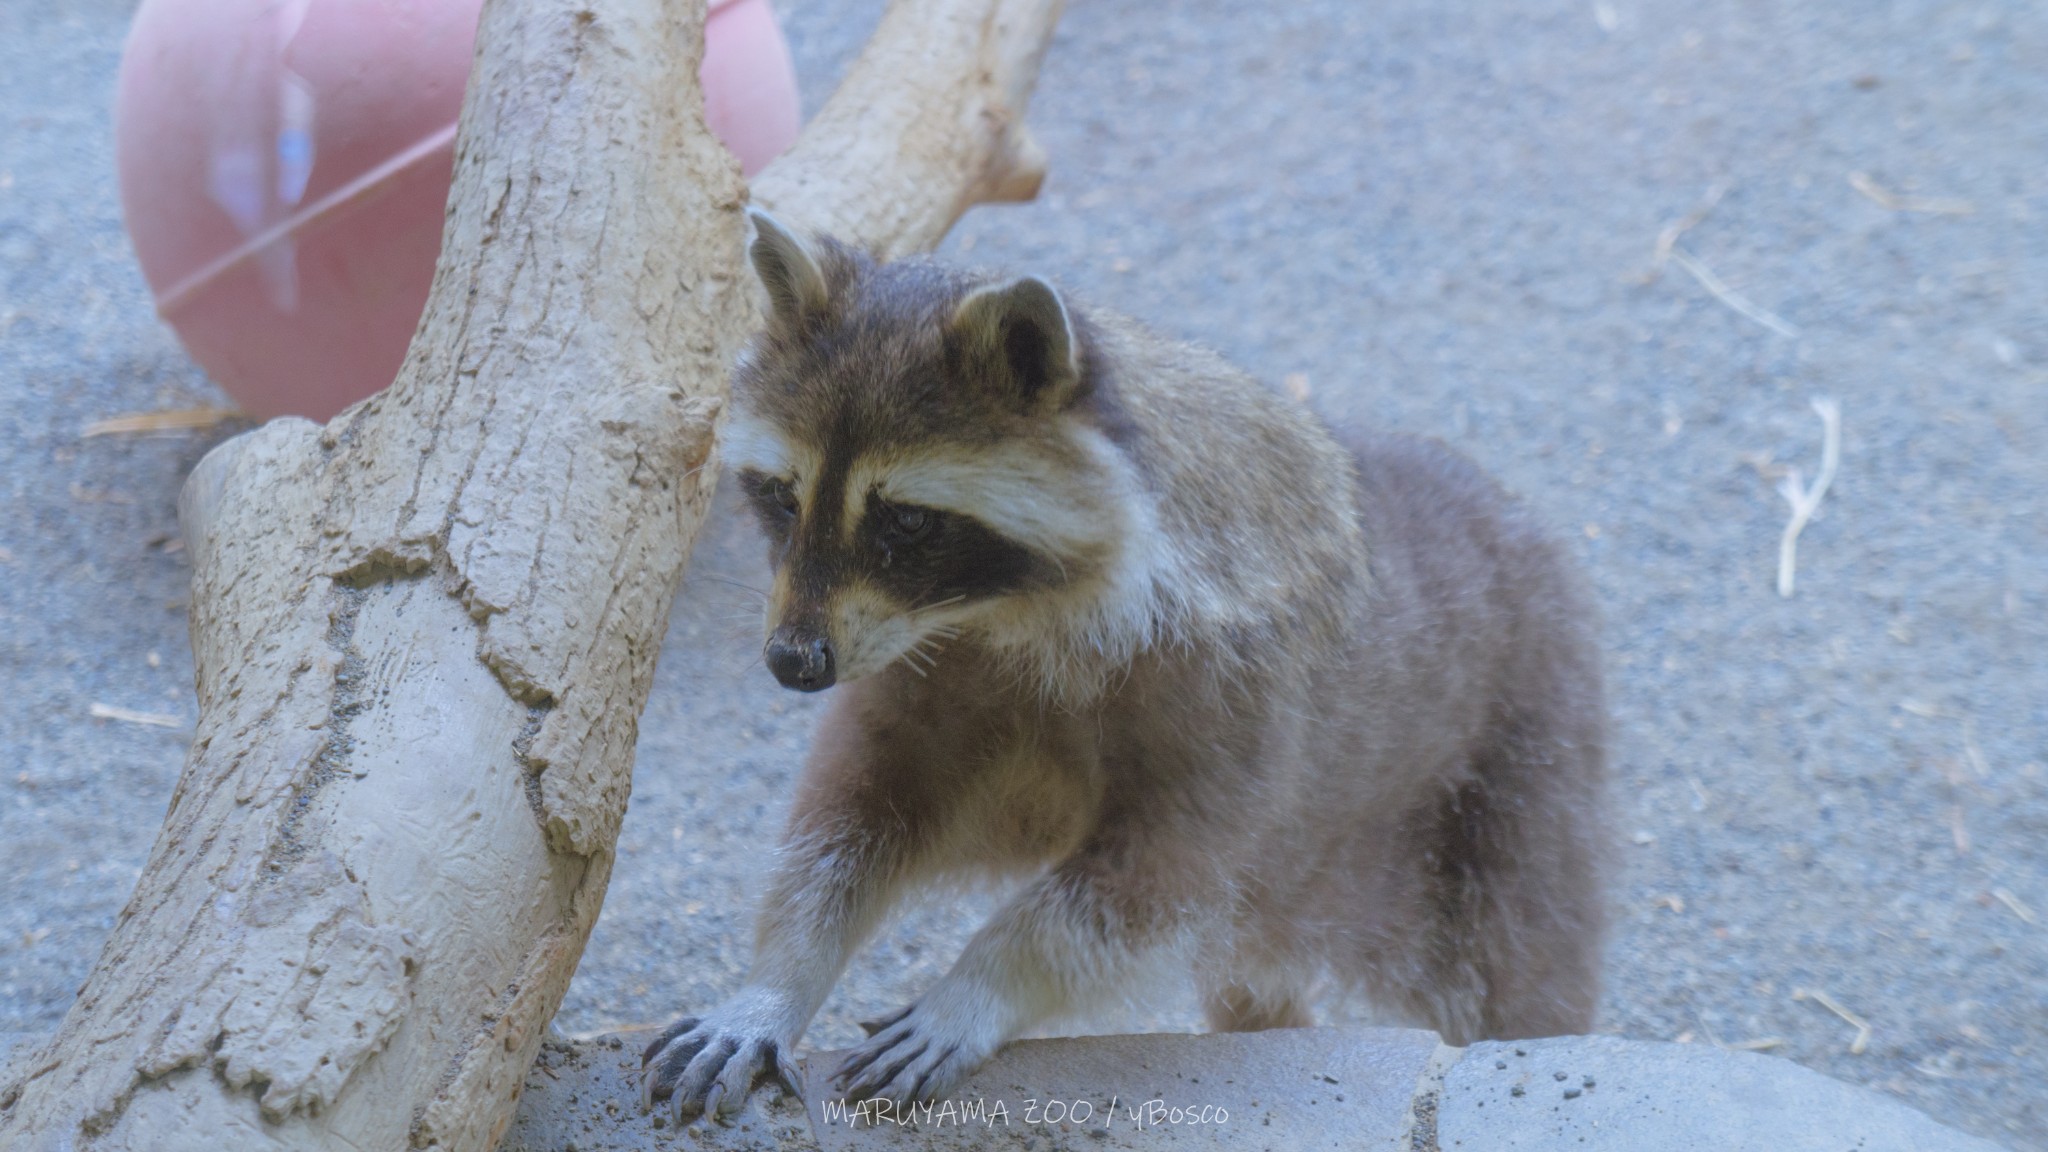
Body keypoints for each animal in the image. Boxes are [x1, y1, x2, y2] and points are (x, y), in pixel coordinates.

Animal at [643, 203, 1613, 1115]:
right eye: (782, 496)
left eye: (908, 521)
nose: (792, 664)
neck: (1004, 611)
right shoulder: (926, 665)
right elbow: (850, 819)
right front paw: (779, 979)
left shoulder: (1238, 686)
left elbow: (1147, 884)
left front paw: (979, 983)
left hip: (1524, 752)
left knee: (1519, 954)